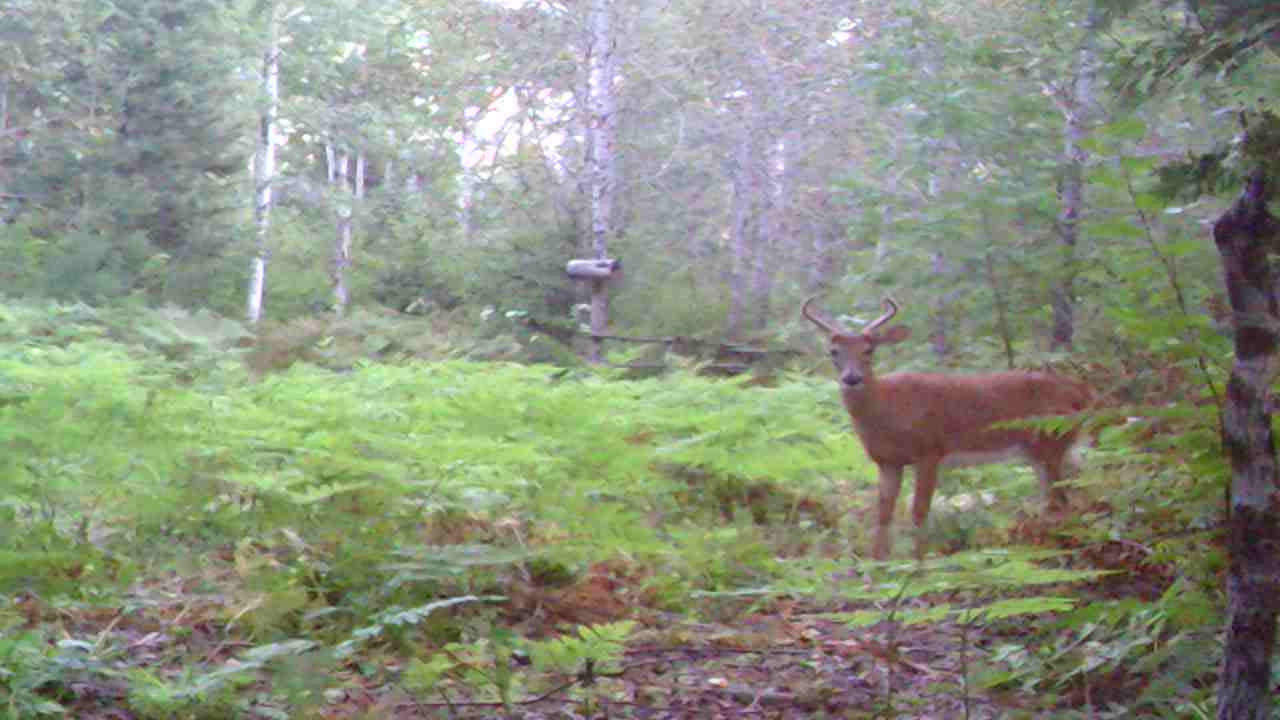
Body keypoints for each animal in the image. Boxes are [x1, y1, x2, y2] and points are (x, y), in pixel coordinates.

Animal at [798, 294, 1090, 558]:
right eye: (833, 352)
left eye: (869, 350)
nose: (852, 378)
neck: (887, 410)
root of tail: (1085, 393)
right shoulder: (887, 461)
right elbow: (883, 513)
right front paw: (879, 564)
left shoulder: (930, 450)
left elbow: (919, 511)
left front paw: (918, 564)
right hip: (1039, 451)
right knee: (1054, 500)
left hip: (1052, 441)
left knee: (1061, 501)